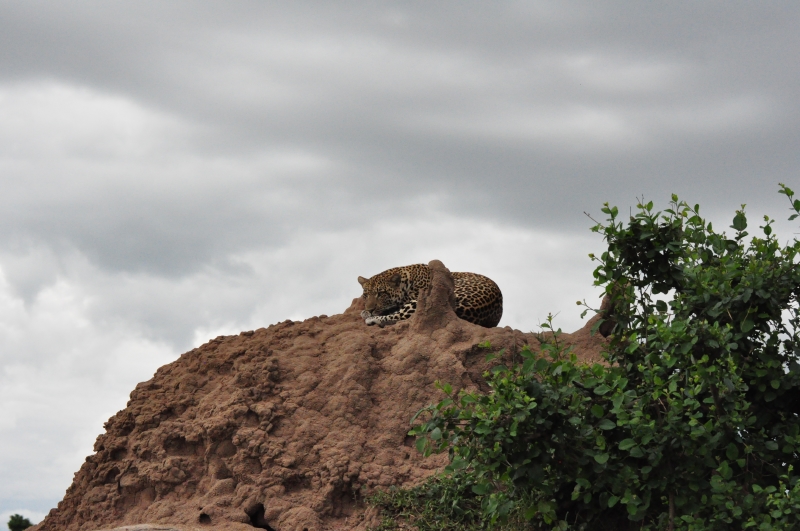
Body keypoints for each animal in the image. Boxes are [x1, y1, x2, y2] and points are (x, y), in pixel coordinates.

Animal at [357, 263, 503, 328]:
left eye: (381, 294)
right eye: (366, 295)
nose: (370, 309)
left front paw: (368, 313)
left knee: (397, 317)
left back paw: (371, 318)